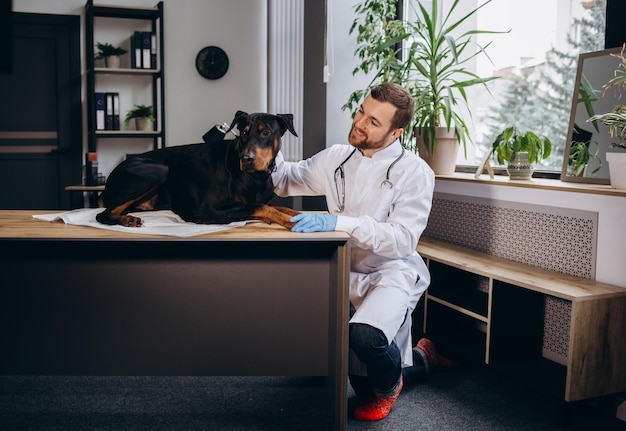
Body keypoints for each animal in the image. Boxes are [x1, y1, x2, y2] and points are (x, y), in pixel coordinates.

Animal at [95, 110, 300, 230]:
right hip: (159, 169)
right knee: (102, 214)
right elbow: (262, 207)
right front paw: (291, 222)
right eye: (244, 132)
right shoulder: (209, 210)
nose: (246, 159)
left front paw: (299, 216)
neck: (255, 177)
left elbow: (278, 206)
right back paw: (126, 219)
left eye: (266, 132)